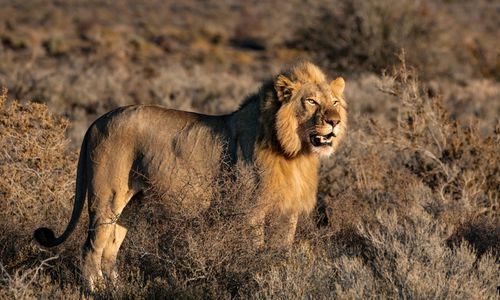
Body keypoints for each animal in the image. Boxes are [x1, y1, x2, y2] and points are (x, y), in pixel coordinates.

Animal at [34, 62, 348, 290]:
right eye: (311, 102)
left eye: (334, 102)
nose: (334, 122)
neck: (294, 153)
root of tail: (96, 122)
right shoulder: (251, 211)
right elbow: (256, 252)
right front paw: (257, 279)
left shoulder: (287, 212)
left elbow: (280, 252)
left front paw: (279, 276)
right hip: (106, 197)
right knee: (90, 248)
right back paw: (94, 291)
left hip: (132, 204)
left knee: (111, 248)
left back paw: (116, 289)